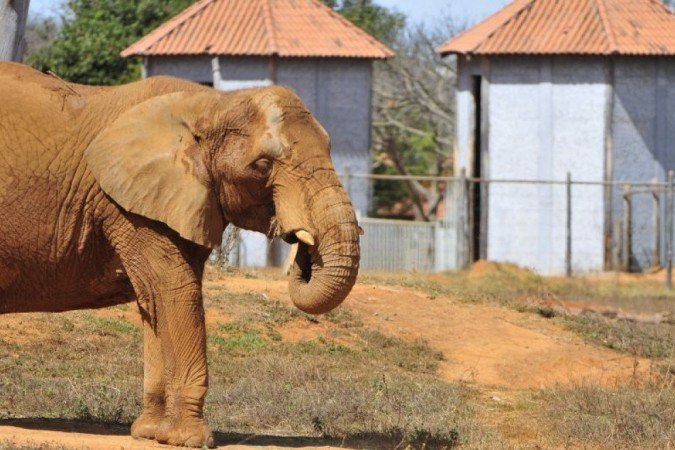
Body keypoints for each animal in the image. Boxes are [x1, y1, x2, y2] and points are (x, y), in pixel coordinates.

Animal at [0, 62, 362, 446]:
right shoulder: (130, 204)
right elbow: (176, 290)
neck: (210, 104)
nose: (301, 245)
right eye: (263, 165)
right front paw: (190, 440)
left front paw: (150, 434)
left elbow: (154, 301)